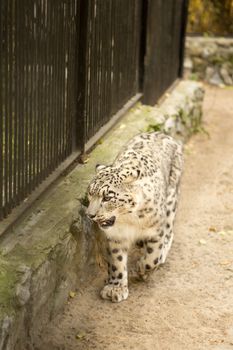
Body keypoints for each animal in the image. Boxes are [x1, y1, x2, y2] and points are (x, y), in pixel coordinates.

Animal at [86, 133, 183, 302]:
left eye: (107, 197)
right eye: (90, 193)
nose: (90, 215)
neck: (129, 221)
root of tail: (164, 134)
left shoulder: (155, 231)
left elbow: (152, 258)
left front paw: (142, 270)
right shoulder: (116, 237)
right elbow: (117, 262)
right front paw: (116, 287)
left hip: (171, 200)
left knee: (169, 231)